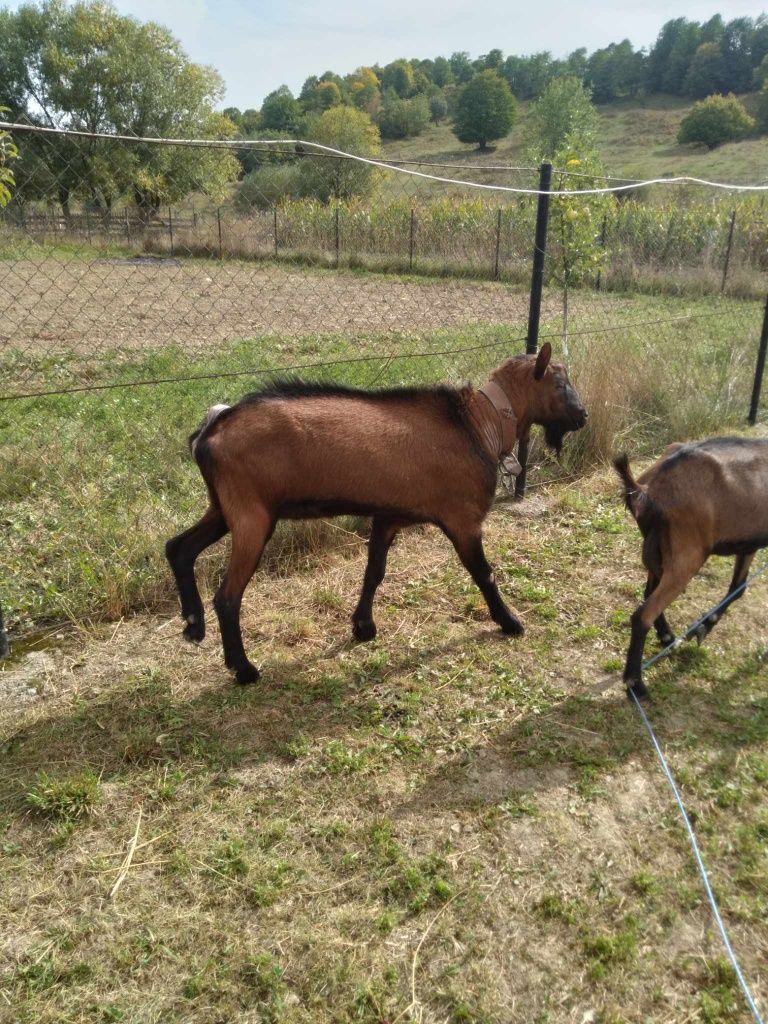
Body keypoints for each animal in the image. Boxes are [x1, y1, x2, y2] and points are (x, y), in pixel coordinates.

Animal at [166, 344, 589, 688]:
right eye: (559, 383)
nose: (583, 416)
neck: (476, 424)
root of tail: (210, 430)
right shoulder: (463, 518)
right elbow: (483, 573)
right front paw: (510, 621)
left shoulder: (388, 516)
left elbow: (374, 572)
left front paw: (363, 627)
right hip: (252, 516)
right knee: (227, 595)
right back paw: (243, 669)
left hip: (225, 508)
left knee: (178, 547)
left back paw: (193, 625)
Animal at [618, 432, 768, 696]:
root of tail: (646, 489)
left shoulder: (748, 544)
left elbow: (738, 587)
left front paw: (703, 627)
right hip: (688, 554)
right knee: (642, 614)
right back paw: (635, 683)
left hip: (659, 550)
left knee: (649, 594)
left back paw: (668, 638)